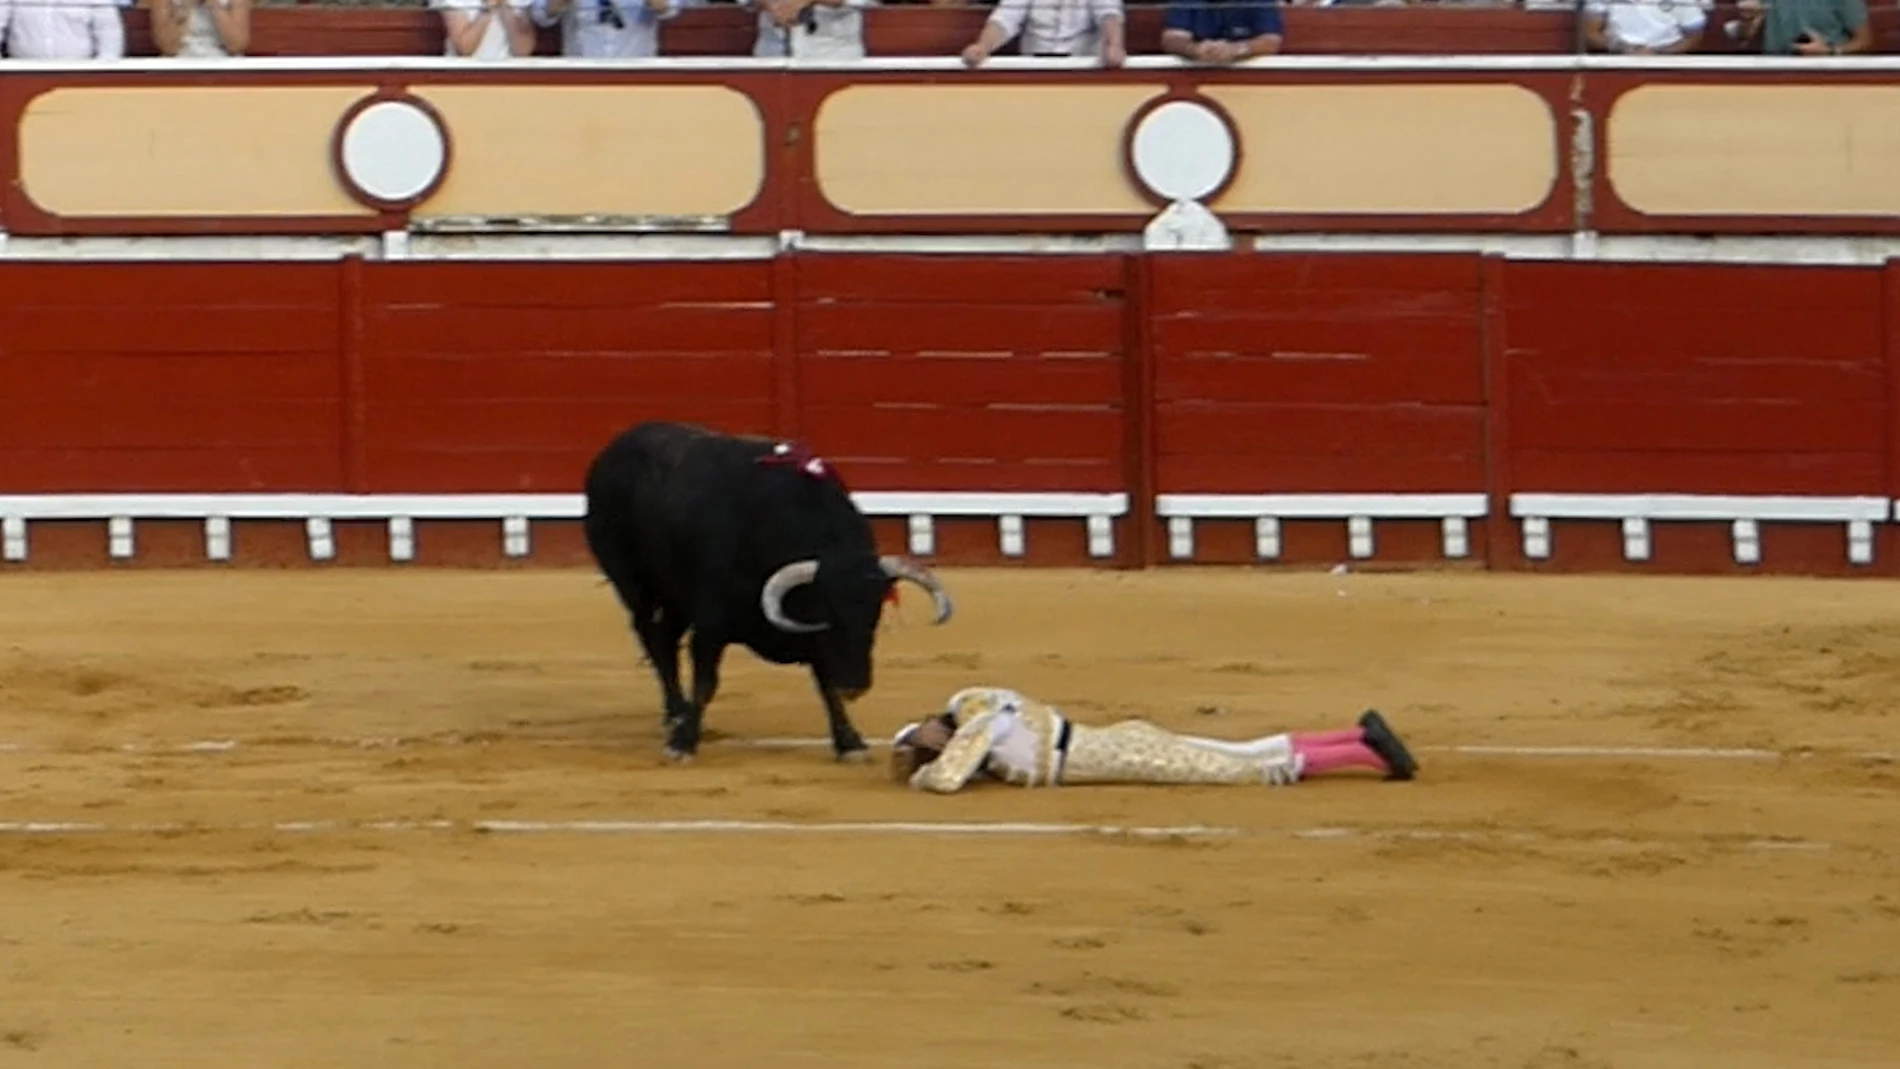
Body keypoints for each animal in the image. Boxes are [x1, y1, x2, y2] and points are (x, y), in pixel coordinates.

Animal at [573, 417, 950, 759]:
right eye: (828, 608)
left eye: (875, 615)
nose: (854, 685)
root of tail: (614, 449)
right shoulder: (710, 623)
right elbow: (706, 681)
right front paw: (683, 743)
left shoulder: (815, 640)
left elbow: (825, 683)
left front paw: (849, 741)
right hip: (634, 585)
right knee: (652, 638)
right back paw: (678, 712)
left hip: (675, 595)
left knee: (664, 638)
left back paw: (675, 711)